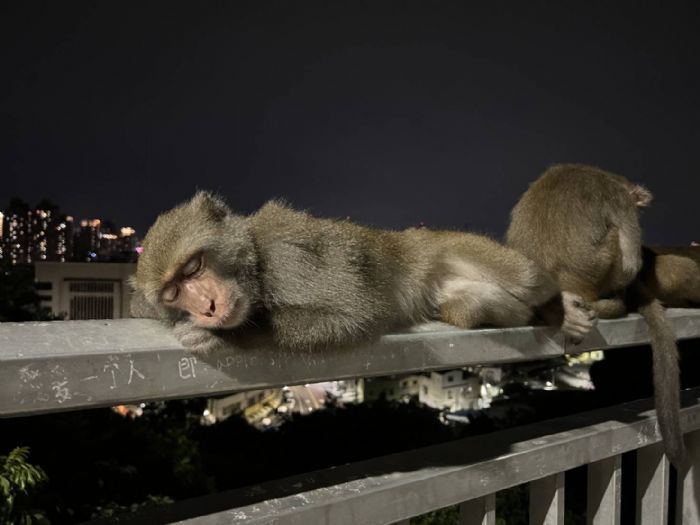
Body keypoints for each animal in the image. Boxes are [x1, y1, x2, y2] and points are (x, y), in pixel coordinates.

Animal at [131, 190, 596, 354]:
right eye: (172, 293)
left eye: (193, 267)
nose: (206, 307)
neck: (257, 262)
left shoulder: (289, 255)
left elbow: (356, 314)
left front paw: (230, 336)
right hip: (458, 291)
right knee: (471, 306)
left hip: (451, 244)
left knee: (529, 279)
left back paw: (561, 306)